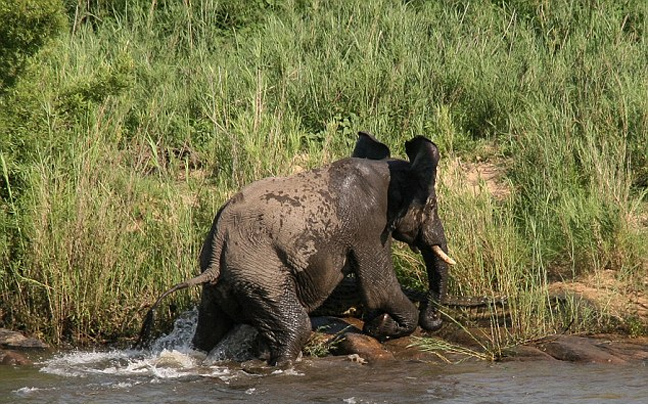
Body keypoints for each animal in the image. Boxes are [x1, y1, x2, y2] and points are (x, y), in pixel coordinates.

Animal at [135, 133, 456, 366]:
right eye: (432, 206)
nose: (438, 319)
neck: (387, 170)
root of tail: (216, 251)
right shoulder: (367, 226)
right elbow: (380, 288)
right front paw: (382, 327)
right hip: (261, 277)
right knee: (297, 327)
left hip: (221, 288)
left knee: (208, 332)